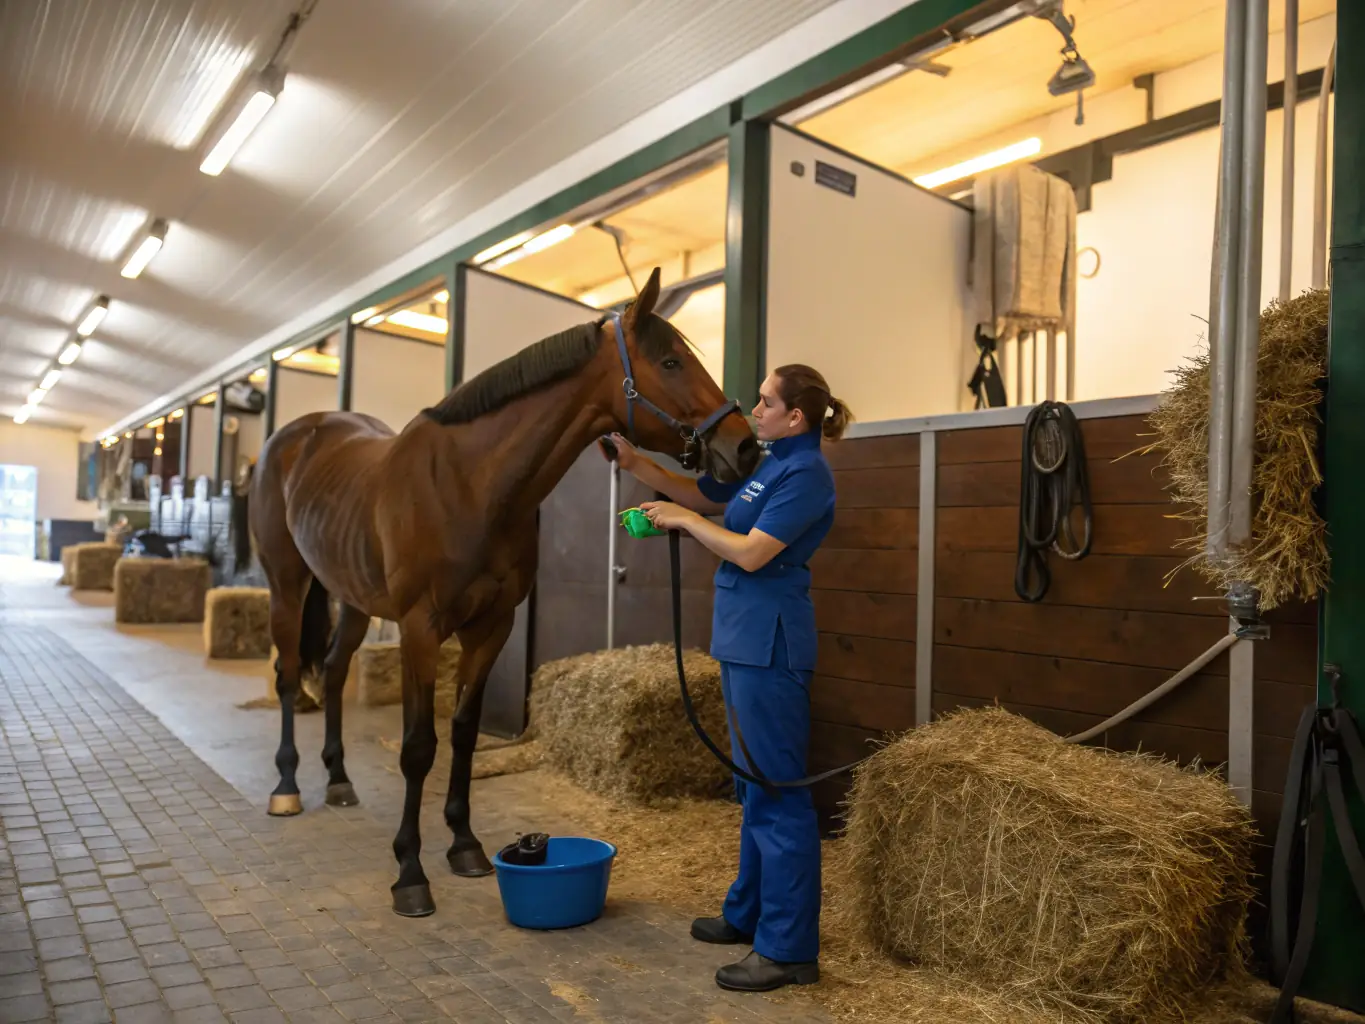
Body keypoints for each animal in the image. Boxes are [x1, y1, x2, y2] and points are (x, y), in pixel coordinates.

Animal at [234, 267, 760, 917]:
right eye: (669, 361)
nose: (744, 447)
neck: (470, 484)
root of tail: (291, 438)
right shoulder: (419, 629)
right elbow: (418, 746)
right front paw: (410, 873)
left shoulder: (493, 627)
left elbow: (463, 732)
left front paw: (465, 846)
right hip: (287, 583)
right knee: (288, 676)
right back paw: (286, 788)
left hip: (353, 598)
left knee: (331, 672)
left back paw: (338, 781)